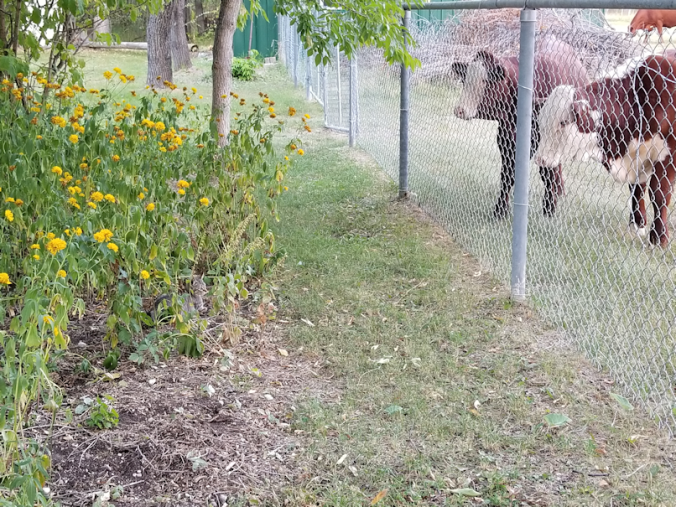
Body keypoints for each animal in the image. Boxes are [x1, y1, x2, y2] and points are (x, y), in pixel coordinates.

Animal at [451, 37, 589, 219]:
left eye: (484, 81)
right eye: (464, 79)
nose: (460, 110)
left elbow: (547, 173)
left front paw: (549, 209)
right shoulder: (507, 140)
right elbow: (508, 175)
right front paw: (500, 209)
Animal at [533, 54, 676, 247]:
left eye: (562, 122)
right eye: (541, 121)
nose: (540, 159)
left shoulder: (667, 157)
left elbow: (659, 194)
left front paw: (658, 238)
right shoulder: (637, 158)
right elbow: (637, 190)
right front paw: (638, 225)